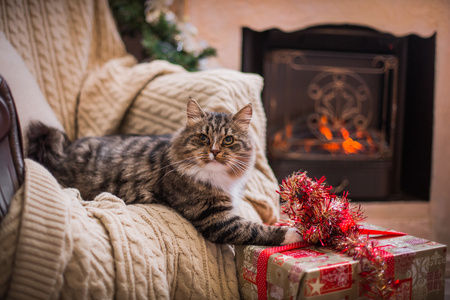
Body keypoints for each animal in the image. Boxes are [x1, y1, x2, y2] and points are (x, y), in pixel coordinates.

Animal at [29, 98, 302, 246]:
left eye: (228, 141)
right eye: (203, 138)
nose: (214, 152)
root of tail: (63, 152)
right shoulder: (216, 219)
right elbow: (258, 229)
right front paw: (298, 231)